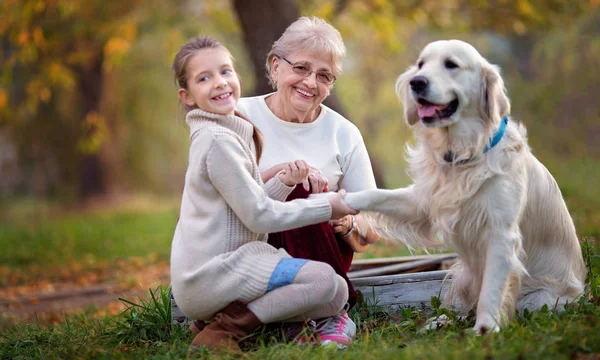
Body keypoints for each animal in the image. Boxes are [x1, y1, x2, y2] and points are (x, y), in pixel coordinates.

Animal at [344, 40, 588, 334]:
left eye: (451, 64)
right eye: (421, 64)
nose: (416, 82)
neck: (462, 153)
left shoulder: (500, 234)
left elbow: (491, 292)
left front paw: (485, 331)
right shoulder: (423, 204)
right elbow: (377, 195)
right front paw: (341, 200)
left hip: (539, 298)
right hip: (461, 274)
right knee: (461, 307)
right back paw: (438, 322)